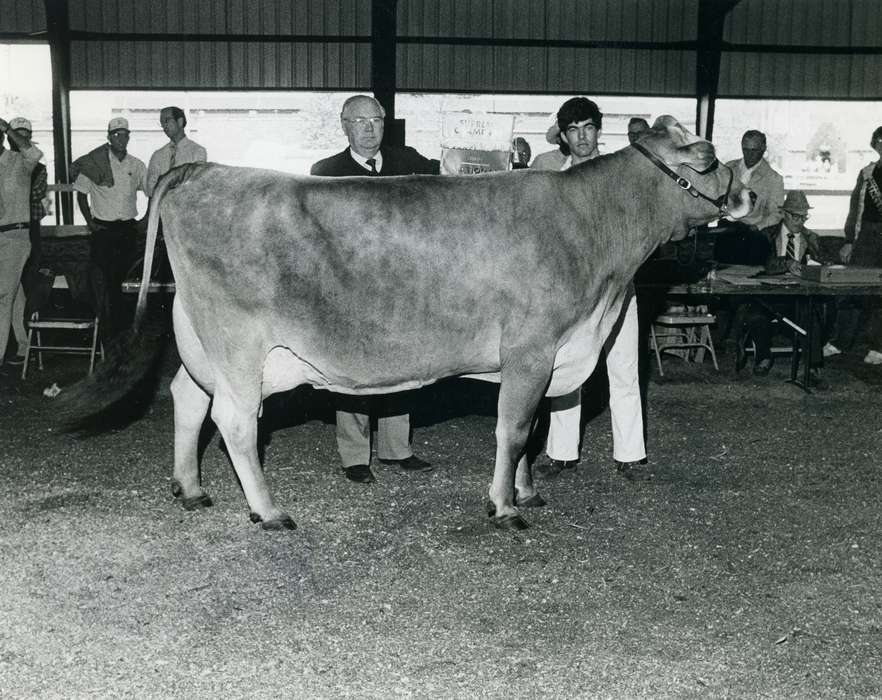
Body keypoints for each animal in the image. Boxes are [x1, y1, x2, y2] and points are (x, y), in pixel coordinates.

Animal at [63, 116, 752, 532]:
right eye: (708, 158)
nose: (744, 196)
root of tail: (202, 170)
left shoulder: (551, 356)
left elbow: (529, 434)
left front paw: (527, 490)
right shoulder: (532, 350)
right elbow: (515, 429)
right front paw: (505, 506)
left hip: (200, 338)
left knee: (187, 396)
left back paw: (191, 486)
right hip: (238, 343)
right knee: (235, 418)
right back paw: (269, 511)